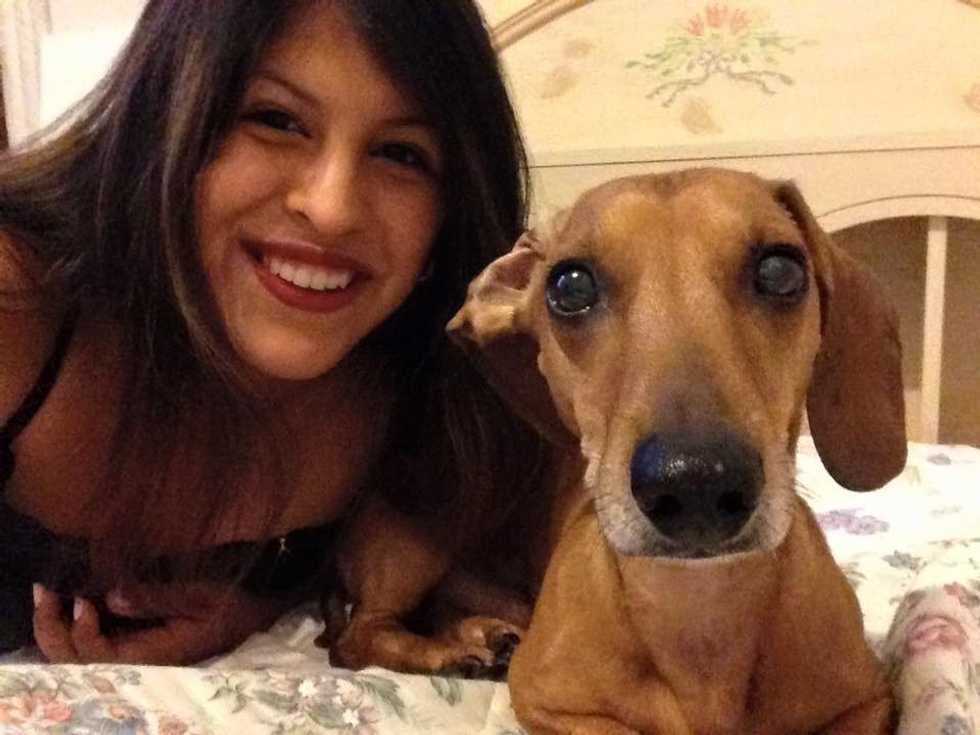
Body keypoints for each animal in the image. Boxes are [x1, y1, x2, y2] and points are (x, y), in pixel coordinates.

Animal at [327, 168, 906, 734]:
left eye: (781, 271)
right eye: (570, 285)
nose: (696, 481)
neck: (699, 607)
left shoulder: (868, 702)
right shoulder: (547, 703)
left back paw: (481, 634)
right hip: (421, 534)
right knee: (358, 637)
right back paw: (447, 652)